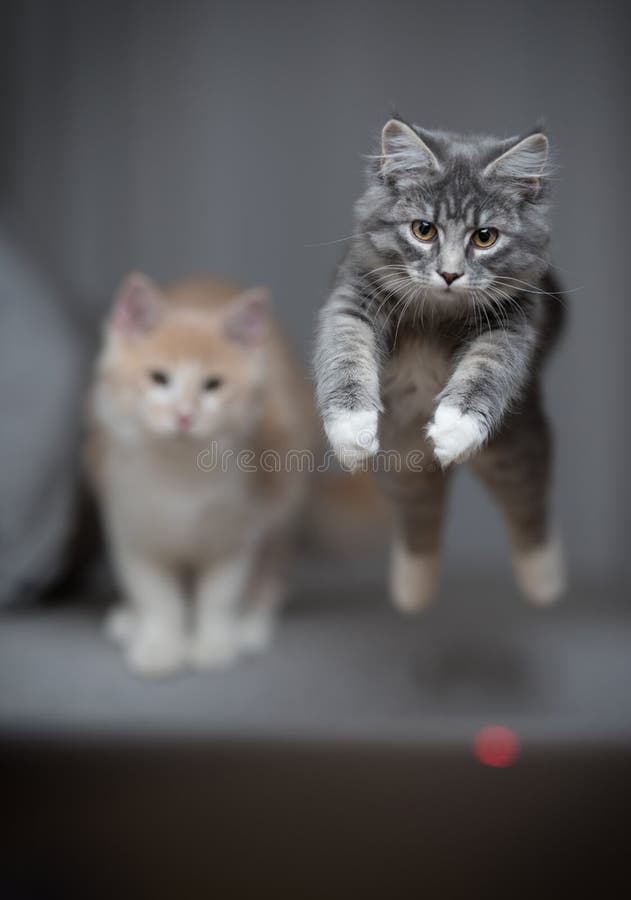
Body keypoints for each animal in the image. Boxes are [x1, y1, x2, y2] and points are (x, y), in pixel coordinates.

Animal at [85, 274, 316, 676]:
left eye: (212, 385)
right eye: (159, 378)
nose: (184, 415)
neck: (181, 472)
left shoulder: (240, 528)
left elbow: (219, 595)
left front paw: (213, 645)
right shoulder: (131, 524)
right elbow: (157, 597)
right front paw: (160, 646)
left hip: (286, 488)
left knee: (272, 566)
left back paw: (251, 623)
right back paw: (130, 621)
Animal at [316, 119, 568, 608]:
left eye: (484, 237)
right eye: (424, 230)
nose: (449, 274)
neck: (437, 313)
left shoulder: (509, 327)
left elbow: (485, 372)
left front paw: (454, 428)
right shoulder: (353, 301)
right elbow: (345, 355)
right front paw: (351, 431)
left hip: (514, 452)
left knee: (529, 508)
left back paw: (544, 582)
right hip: (403, 467)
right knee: (421, 520)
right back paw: (412, 590)